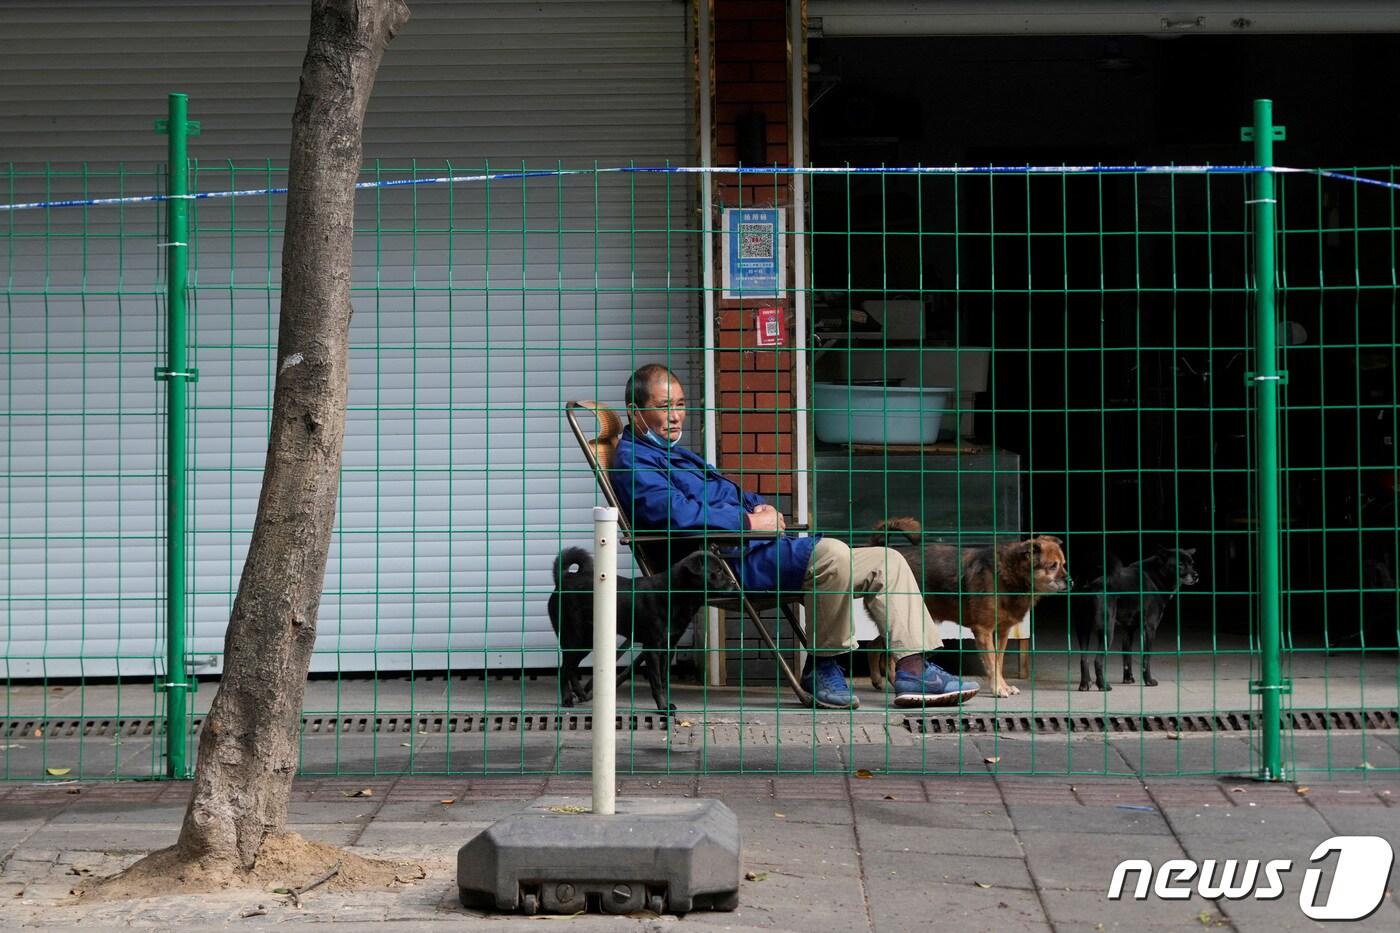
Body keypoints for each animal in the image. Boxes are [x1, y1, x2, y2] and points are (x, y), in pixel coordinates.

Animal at [543, 540, 733, 708]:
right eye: (717, 571)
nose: (733, 583)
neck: (675, 594)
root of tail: (564, 579)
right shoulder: (652, 648)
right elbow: (656, 681)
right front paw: (662, 707)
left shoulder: (668, 648)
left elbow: (664, 680)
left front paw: (666, 704)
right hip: (574, 637)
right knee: (563, 670)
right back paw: (566, 700)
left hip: (585, 642)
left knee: (571, 669)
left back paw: (581, 695)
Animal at [862, 518, 1069, 694]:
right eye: (1052, 566)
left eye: (1064, 564)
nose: (1071, 581)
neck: (1009, 573)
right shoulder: (984, 631)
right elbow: (992, 662)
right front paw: (998, 689)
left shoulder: (1002, 632)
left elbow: (999, 661)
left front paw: (1003, 686)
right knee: (887, 657)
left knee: (874, 646)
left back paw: (879, 680)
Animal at [1075, 540, 1198, 686]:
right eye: (1180, 564)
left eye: (1191, 563)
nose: (1196, 576)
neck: (1156, 574)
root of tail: (1091, 580)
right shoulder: (1149, 628)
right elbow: (1146, 657)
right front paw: (1149, 680)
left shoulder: (1128, 629)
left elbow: (1127, 655)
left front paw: (1128, 679)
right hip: (1107, 630)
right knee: (1097, 660)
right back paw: (1104, 686)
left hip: (1083, 629)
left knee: (1083, 659)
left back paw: (1085, 684)